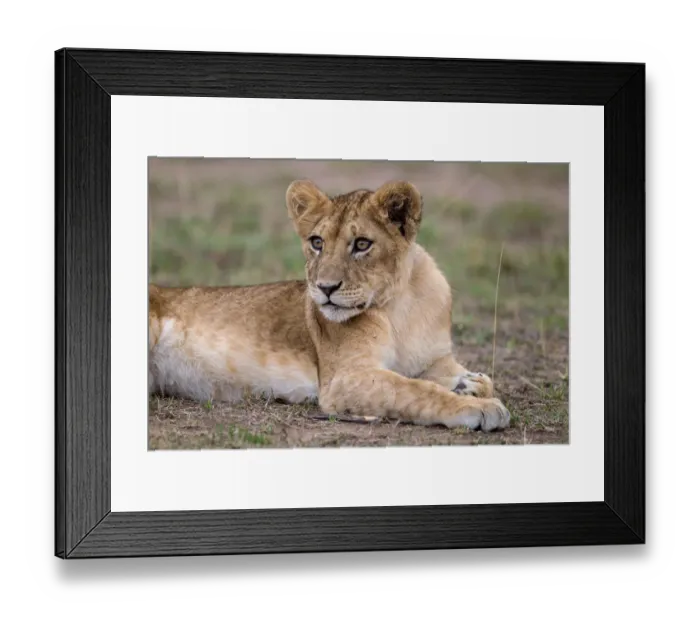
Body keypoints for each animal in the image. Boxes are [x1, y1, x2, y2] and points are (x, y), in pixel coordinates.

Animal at [148, 180, 511, 431]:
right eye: (317, 242)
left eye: (362, 244)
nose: (325, 288)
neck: (400, 305)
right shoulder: (345, 379)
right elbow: (415, 390)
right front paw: (478, 407)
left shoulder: (434, 358)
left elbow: (474, 378)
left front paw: (470, 385)